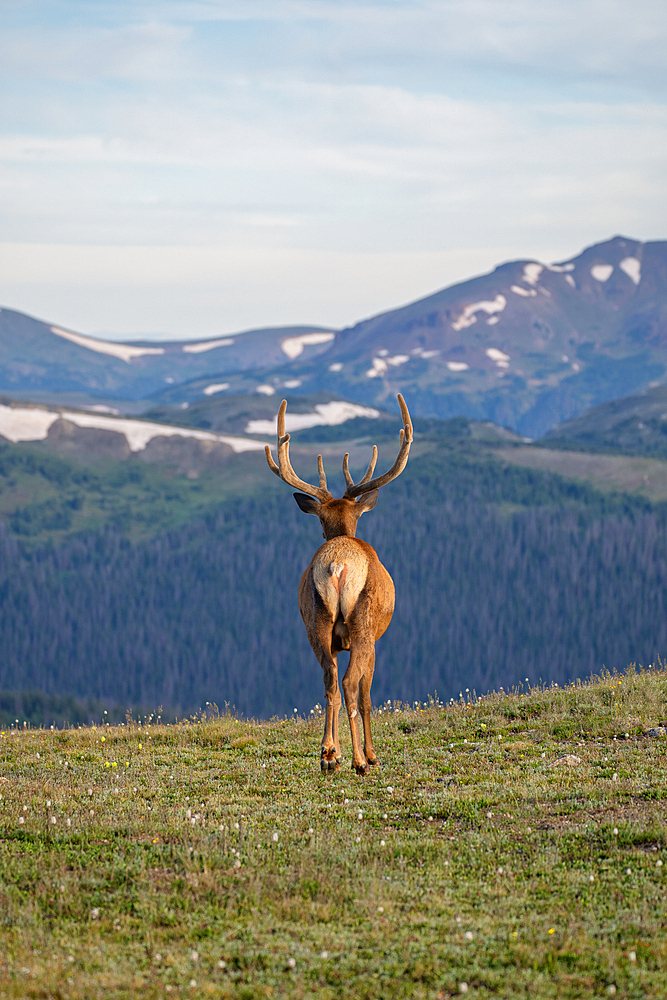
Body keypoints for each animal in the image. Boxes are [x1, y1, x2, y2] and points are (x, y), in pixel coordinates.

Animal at [264, 390, 412, 772]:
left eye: (321, 520)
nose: (369, 758)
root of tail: (338, 566)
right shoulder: (376, 639)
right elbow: (368, 695)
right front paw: (371, 754)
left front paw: (333, 751)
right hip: (363, 624)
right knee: (348, 684)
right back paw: (360, 760)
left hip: (316, 621)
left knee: (329, 680)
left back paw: (329, 755)